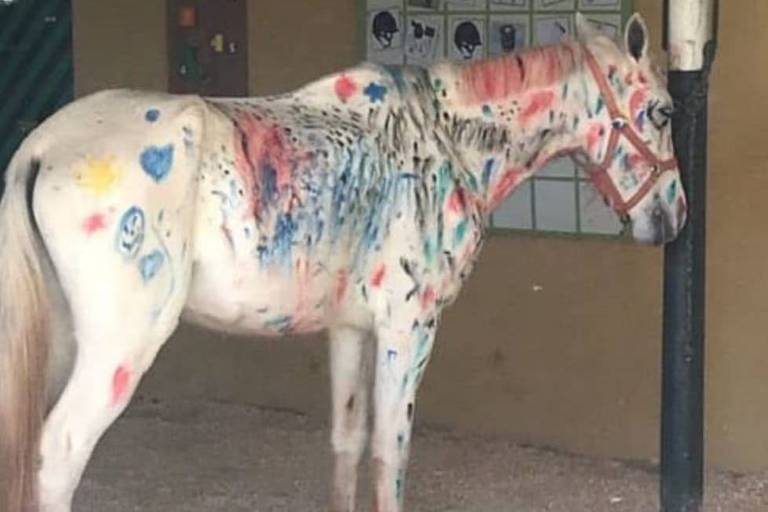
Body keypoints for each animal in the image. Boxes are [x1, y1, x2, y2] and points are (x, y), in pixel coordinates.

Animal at [0, 15, 684, 512]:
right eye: (663, 112)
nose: (673, 220)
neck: (441, 140)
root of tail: (42, 147)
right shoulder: (409, 329)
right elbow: (390, 453)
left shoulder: (351, 329)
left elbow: (347, 443)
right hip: (120, 350)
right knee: (57, 456)